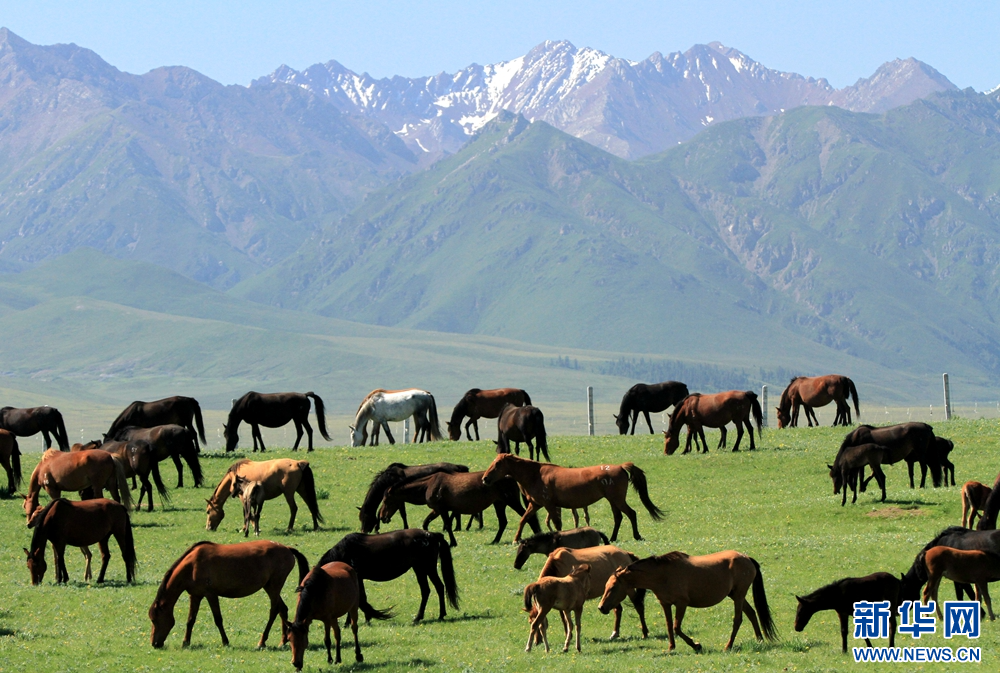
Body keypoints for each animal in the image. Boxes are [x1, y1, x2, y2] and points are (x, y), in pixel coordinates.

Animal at [149, 540, 309, 648]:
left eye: (155, 619)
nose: (154, 643)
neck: (192, 565)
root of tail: (287, 549)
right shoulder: (195, 596)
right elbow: (190, 620)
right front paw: (185, 642)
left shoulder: (211, 594)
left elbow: (218, 619)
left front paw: (225, 641)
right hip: (269, 587)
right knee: (282, 609)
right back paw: (283, 640)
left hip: (274, 586)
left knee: (274, 610)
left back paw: (262, 641)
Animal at [317, 529, 459, 623]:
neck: (344, 552)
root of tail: (432, 535)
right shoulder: (359, 578)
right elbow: (361, 597)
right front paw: (367, 618)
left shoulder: (357, 577)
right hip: (420, 569)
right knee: (428, 590)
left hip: (427, 568)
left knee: (438, 587)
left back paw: (437, 615)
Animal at [378, 470, 539, 547]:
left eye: (386, 500)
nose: (381, 517)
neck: (428, 485)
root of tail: (510, 476)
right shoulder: (437, 510)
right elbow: (426, 523)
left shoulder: (441, 509)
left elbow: (448, 525)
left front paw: (453, 542)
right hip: (499, 503)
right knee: (503, 522)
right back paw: (495, 540)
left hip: (511, 501)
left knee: (527, 517)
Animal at [482, 454, 664, 542]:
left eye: (497, 464)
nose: (485, 478)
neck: (535, 474)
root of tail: (620, 467)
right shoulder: (535, 504)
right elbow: (523, 520)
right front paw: (516, 539)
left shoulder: (549, 504)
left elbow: (557, 523)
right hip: (612, 500)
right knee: (618, 517)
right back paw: (613, 537)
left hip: (617, 499)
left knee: (631, 513)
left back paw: (637, 536)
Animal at [598, 551, 778, 652]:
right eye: (606, 586)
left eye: (613, 587)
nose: (601, 608)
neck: (662, 574)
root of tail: (747, 558)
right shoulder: (665, 603)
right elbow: (669, 626)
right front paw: (671, 648)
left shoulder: (681, 603)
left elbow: (677, 627)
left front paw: (696, 645)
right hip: (735, 595)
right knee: (752, 613)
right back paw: (760, 640)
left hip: (739, 595)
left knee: (738, 620)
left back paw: (728, 646)